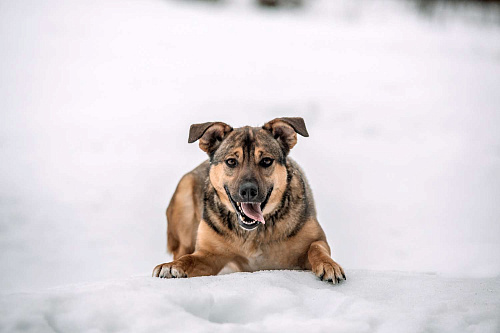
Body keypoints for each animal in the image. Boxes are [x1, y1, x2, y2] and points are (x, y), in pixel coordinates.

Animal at [152, 116, 346, 282]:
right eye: (231, 161)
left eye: (266, 161)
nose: (248, 191)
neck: (254, 233)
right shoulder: (209, 254)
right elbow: (190, 259)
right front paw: (172, 267)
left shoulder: (316, 239)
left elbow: (316, 248)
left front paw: (329, 265)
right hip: (184, 195)